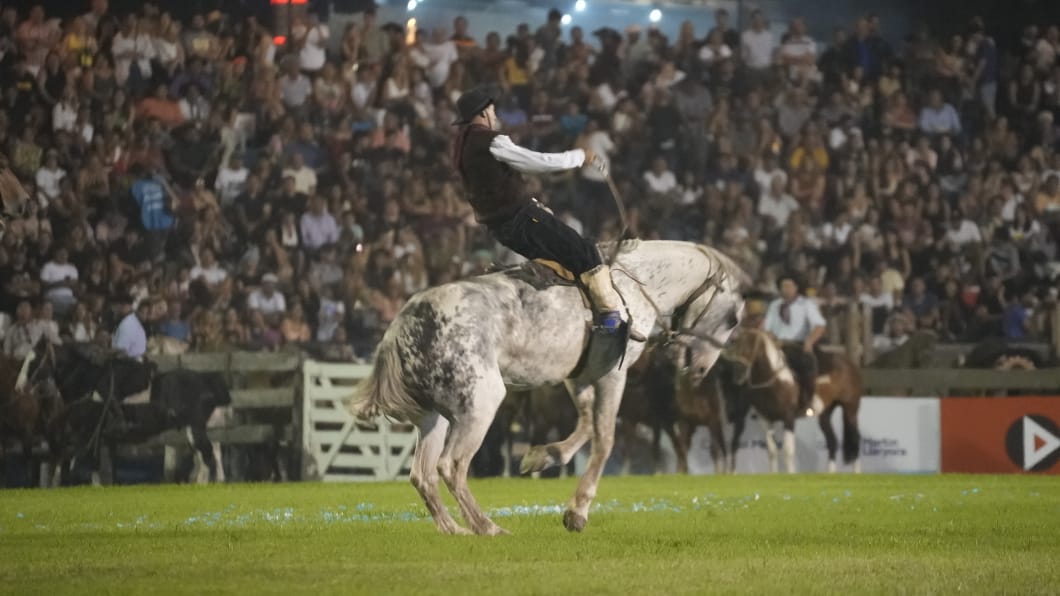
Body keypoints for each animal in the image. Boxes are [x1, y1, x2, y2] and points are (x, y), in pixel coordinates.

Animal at [351, 238, 750, 536]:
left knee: (422, 475)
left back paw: (454, 528)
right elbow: (605, 439)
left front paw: (543, 457)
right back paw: (486, 527)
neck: (635, 284)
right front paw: (577, 512)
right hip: (480, 405)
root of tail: (402, 326)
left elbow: (586, 426)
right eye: (733, 318)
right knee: (451, 466)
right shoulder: (612, 374)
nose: (700, 369)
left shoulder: (580, 376)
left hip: (435, 418)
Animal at [720, 326, 860, 470]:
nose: (738, 373)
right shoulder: (766, 419)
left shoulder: (788, 418)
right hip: (825, 413)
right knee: (832, 443)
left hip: (851, 409)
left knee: (855, 442)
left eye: (751, 345)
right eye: (735, 344)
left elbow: (787, 451)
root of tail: (849, 364)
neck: (775, 380)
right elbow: (772, 451)